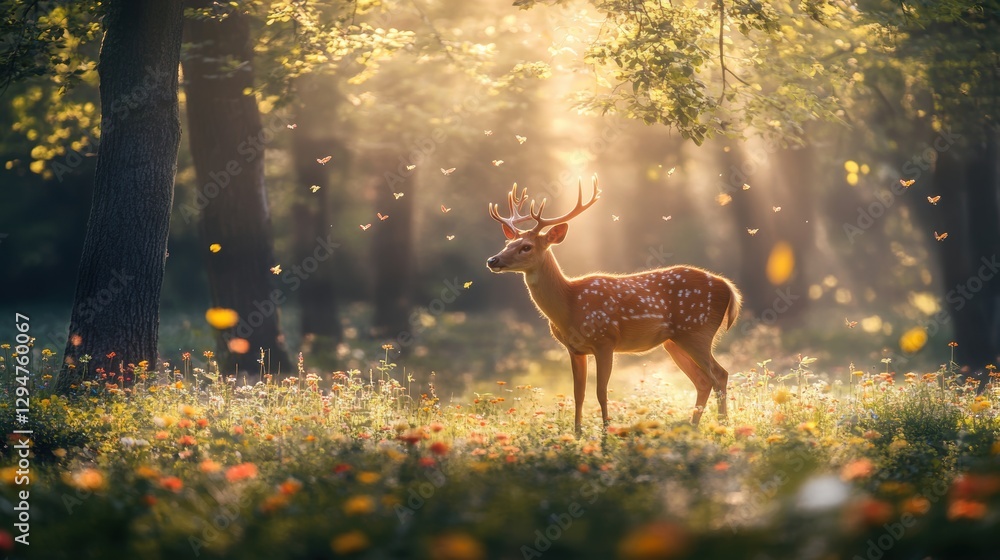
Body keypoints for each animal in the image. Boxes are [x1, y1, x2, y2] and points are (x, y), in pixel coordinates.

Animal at [486, 176, 742, 434]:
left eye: (526, 246)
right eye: (508, 242)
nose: (492, 260)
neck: (569, 305)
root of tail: (727, 287)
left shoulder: (605, 340)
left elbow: (601, 392)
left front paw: (606, 432)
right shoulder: (574, 349)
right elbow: (578, 394)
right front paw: (577, 433)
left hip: (697, 330)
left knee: (719, 374)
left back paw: (722, 425)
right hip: (674, 341)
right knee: (703, 380)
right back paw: (694, 426)